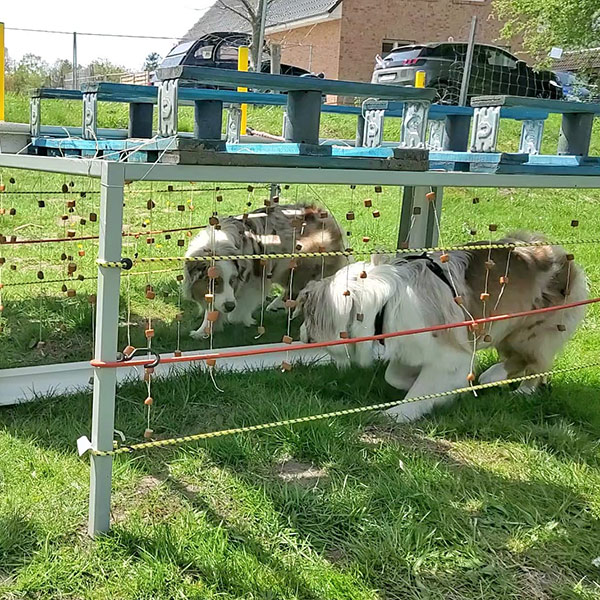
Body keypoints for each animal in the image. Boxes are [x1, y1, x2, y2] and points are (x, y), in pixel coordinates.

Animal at [183, 204, 344, 338]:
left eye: (232, 280)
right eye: (215, 282)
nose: (230, 306)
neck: (218, 246)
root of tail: (322, 213)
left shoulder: (253, 280)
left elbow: (237, 310)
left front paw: (239, 317)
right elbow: (212, 308)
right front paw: (202, 331)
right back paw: (277, 304)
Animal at [296, 231, 584, 422]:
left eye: (307, 317)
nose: (300, 334)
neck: (379, 306)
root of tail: (562, 254)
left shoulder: (450, 355)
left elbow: (420, 392)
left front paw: (396, 413)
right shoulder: (411, 348)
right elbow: (395, 376)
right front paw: (418, 384)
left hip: (529, 331)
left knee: (535, 362)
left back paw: (515, 386)